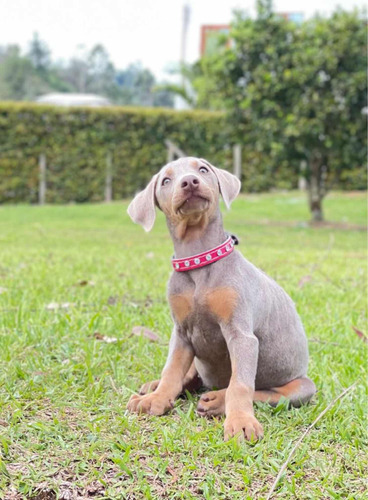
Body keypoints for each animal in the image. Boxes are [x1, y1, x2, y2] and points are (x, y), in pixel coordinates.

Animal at [126, 157, 316, 442]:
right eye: (166, 180)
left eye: (203, 169)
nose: (189, 181)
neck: (198, 260)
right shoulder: (181, 333)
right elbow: (171, 371)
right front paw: (157, 399)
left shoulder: (241, 335)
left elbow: (241, 384)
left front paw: (239, 421)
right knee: (190, 376)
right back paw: (156, 387)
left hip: (302, 385)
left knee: (268, 393)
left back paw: (217, 400)